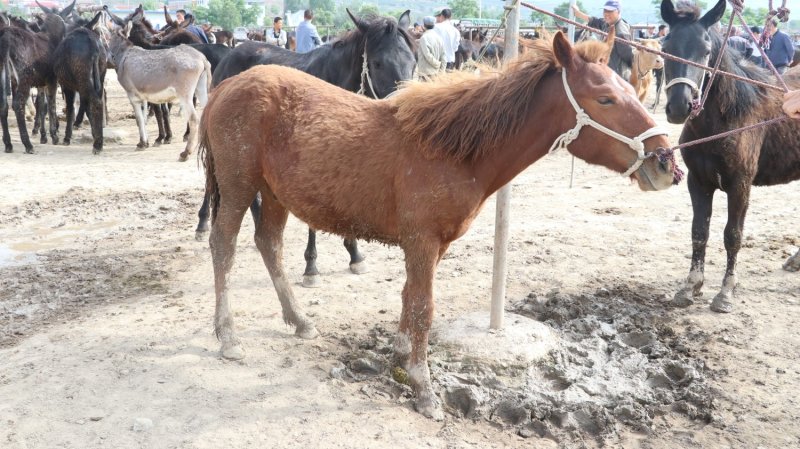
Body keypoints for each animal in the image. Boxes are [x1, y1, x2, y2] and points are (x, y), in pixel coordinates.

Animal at [660, 0, 800, 313]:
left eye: (706, 50)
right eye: (665, 46)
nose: (679, 107)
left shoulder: (740, 185)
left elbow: (733, 236)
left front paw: (725, 293)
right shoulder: (699, 182)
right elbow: (699, 231)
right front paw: (691, 286)